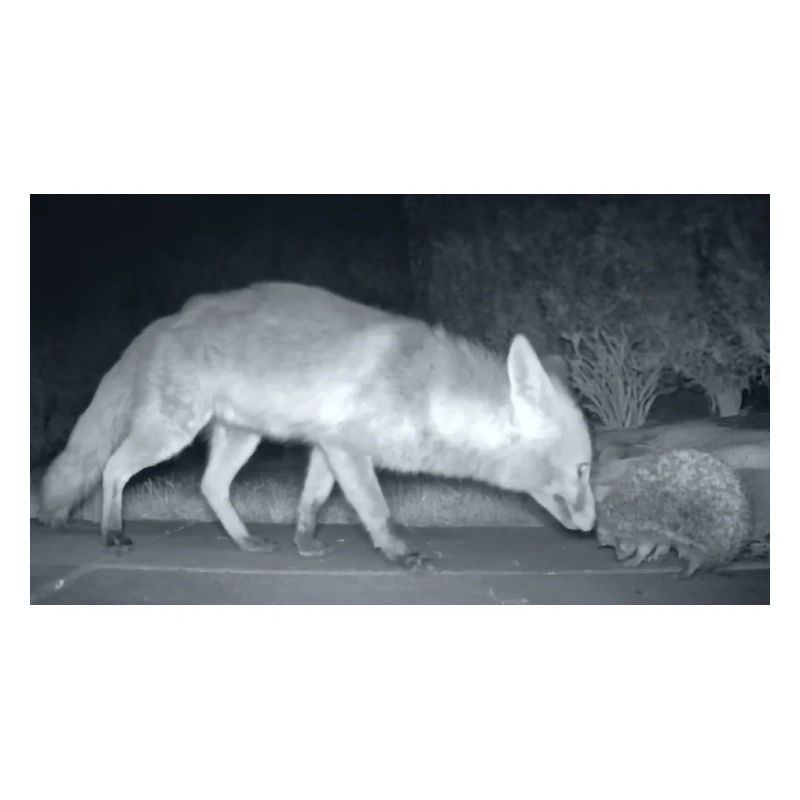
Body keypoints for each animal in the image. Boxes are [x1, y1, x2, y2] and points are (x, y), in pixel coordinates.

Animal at [39, 282, 596, 566]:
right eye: (583, 470)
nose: (594, 528)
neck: (426, 393)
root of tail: (164, 322)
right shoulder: (349, 450)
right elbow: (377, 511)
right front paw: (400, 554)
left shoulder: (330, 447)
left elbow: (311, 504)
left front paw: (304, 544)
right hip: (170, 433)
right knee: (112, 469)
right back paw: (111, 532)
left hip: (241, 438)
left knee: (210, 487)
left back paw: (245, 542)